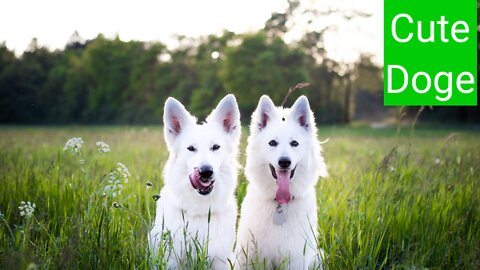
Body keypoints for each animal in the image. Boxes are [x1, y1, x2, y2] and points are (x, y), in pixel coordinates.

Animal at [149, 94, 240, 268]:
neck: (200, 212)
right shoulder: (171, 261)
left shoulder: (220, 260)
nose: (206, 172)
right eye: (191, 148)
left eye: (215, 147)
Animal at [235, 95, 326, 270]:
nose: (284, 162)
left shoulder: (295, 258)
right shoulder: (248, 257)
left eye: (294, 143)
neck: (279, 205)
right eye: (272, 143)